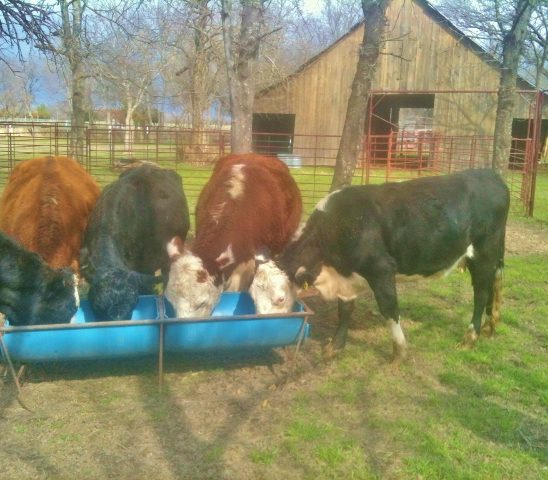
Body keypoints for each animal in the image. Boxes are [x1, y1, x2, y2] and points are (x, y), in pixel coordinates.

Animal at [252, 169, 510, 360]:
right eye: (252, 297)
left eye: (280, 299)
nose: (261, 329)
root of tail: (489, 174)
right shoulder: (347, 277)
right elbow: (345, 310)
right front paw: (335, 346)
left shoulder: (381, 269)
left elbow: (389, 309)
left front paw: (400, 351)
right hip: (492, 254)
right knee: (495, 282)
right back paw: (491, 324)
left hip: (483, 253)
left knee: (480, 294)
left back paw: (471, 336)